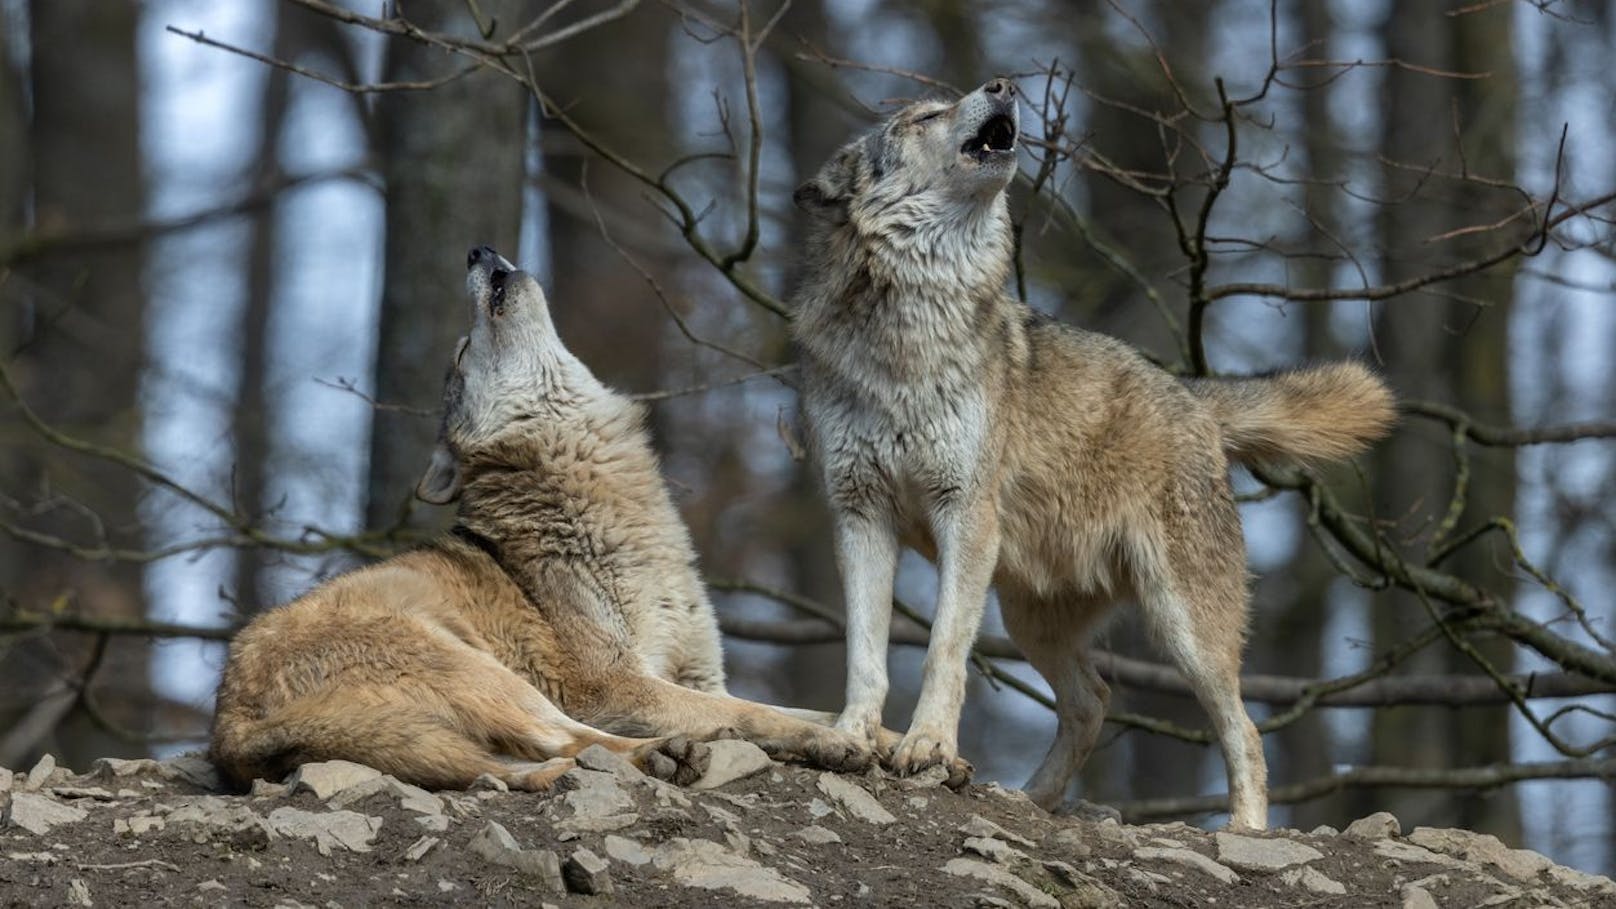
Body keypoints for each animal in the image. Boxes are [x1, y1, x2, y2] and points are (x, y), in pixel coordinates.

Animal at [216, 245, 879, 786]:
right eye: (463, 350)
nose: (477, 249)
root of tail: (229, 726)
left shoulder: (699, 674)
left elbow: (798, 707)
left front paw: (878, 738)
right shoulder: (614, 683)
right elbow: (754, 711)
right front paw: (824, 741)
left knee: (515, 762)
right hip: (479, 669)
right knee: (575, 742)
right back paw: (666, 753)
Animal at [788, 79, 1396, 828]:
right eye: (924, 116)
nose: (1002, 84)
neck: (908, 329)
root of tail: (1194, 395)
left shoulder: (965, 515)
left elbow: (943, 651)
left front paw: (927, 746)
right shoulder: (859, 515)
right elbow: (865, 655)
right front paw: (850, 736)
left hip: (1183, 627)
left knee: (1244, 730)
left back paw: (1245, 830)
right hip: (1030, 618)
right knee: (1094, 701)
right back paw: (1030, 798)